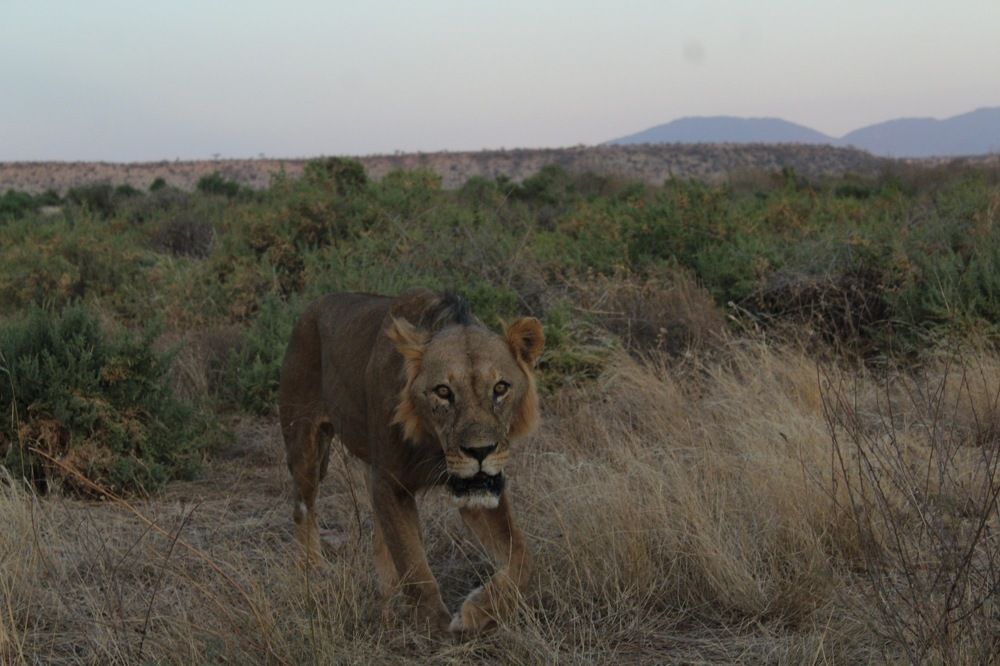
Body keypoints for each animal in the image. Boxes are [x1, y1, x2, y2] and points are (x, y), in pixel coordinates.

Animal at [278, 288, 544, 634]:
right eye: (443, 392)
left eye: (500, 388)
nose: (481, 451)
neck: (434, 445)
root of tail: (312, 305)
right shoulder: (390, 482)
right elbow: (413, 564)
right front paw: (437, 628)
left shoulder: (477, 489)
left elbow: (523, 558)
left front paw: (478, 613)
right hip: (305, 444)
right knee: (303, 508)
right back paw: (315, 572)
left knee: (379, 534)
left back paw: (387, 599)